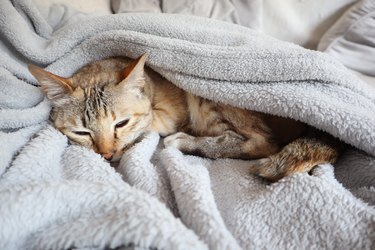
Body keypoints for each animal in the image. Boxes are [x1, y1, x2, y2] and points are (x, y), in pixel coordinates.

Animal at [27, 53, 342, 181]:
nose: (106, 154)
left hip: (212, 100)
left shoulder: (172, 110)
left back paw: (186, 142)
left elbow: (152, 121)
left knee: (262, 143)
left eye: (121, 123)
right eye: (82, 132)